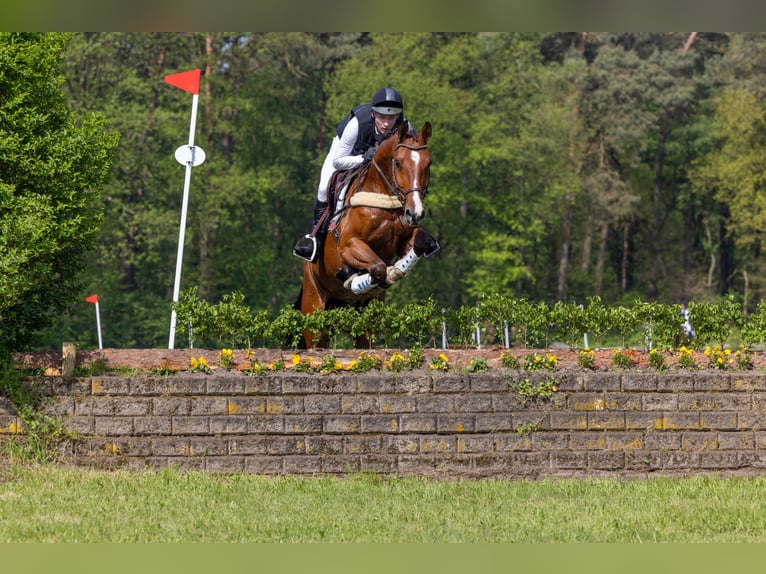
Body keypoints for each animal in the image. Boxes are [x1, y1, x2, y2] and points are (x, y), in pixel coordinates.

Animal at [296, 119, 438, 348]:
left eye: (428, 163)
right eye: (398, 163)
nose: (415, 213)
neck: (384, 197)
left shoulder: (405, 241)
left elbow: (419, 243)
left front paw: (395, 271)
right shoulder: (349, 244)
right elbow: (378, 267)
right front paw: (359, 278)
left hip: (364, 324)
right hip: (314, 311)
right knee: (316, 341)